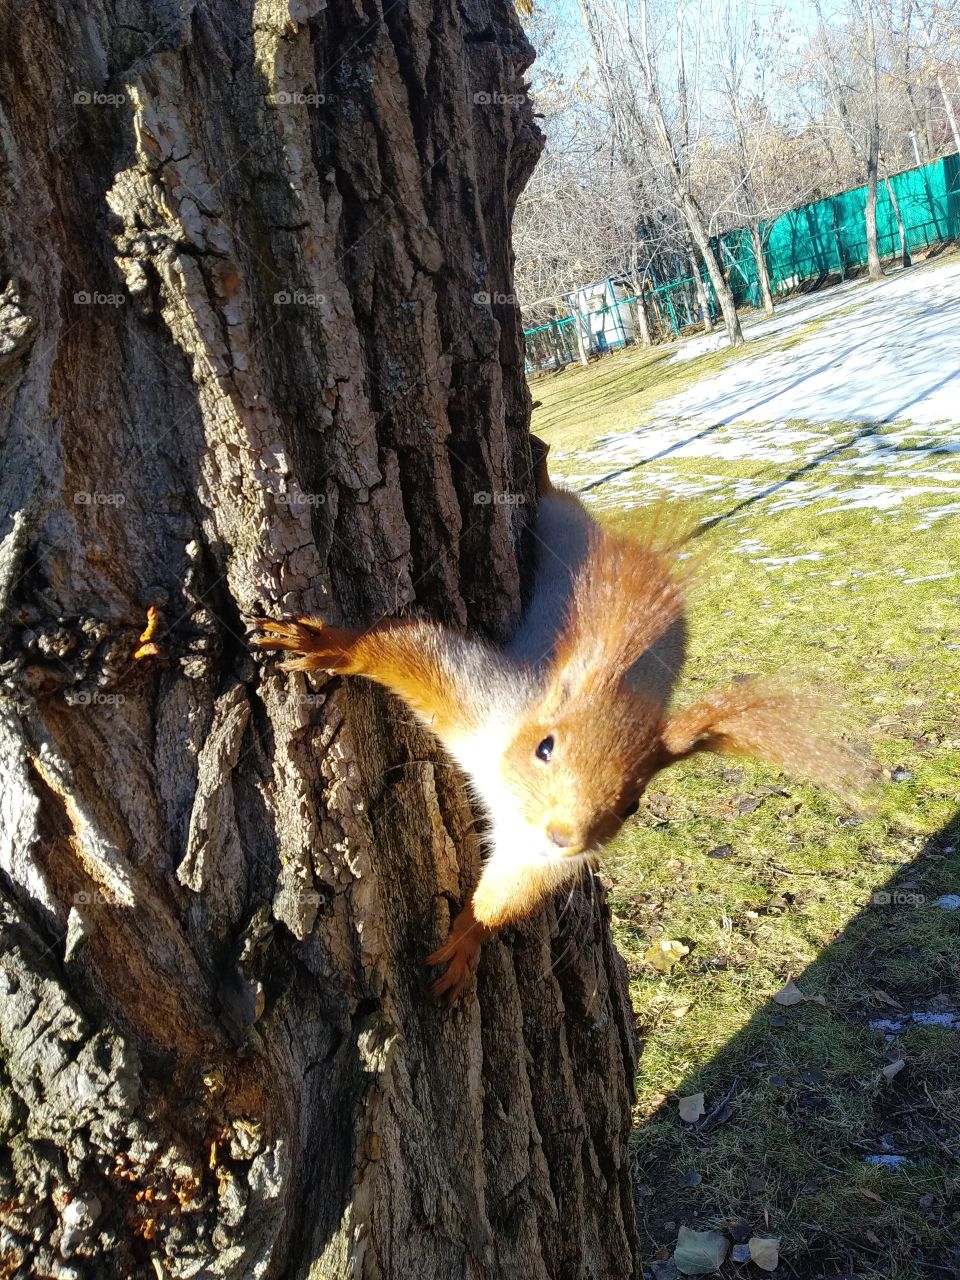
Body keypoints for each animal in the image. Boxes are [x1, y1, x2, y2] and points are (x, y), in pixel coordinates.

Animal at [254, 437, 869, 1001]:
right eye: (544, 748)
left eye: (634, 803)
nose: (566, 836)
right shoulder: (482, 698)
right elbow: (410, 650)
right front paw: (328, 646)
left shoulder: (531, 848)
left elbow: (511, 888)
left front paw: (469, 937)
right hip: (563, 530)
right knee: (559, 501)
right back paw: (544, 463)